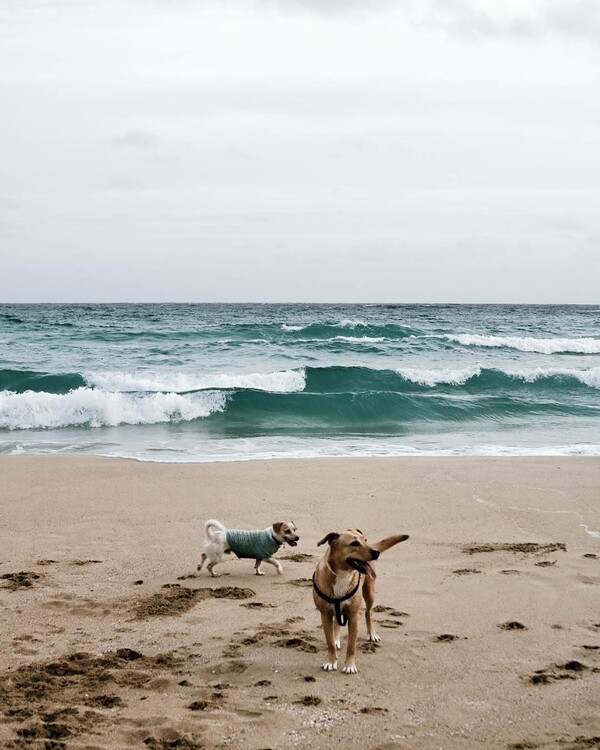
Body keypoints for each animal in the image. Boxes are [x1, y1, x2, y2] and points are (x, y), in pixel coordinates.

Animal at [312, 528, 410, 676]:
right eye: (354, 543)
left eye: (365, 540)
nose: (376, 552)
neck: (342, 574)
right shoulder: (325, 614)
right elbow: (329, 642)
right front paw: (331, 661)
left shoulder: (353, 616)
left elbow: (351, 646)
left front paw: (350, 666)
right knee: (337, 623)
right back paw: (336, 638)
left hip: (369, 592)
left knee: (368, 613)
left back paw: (372, 634)